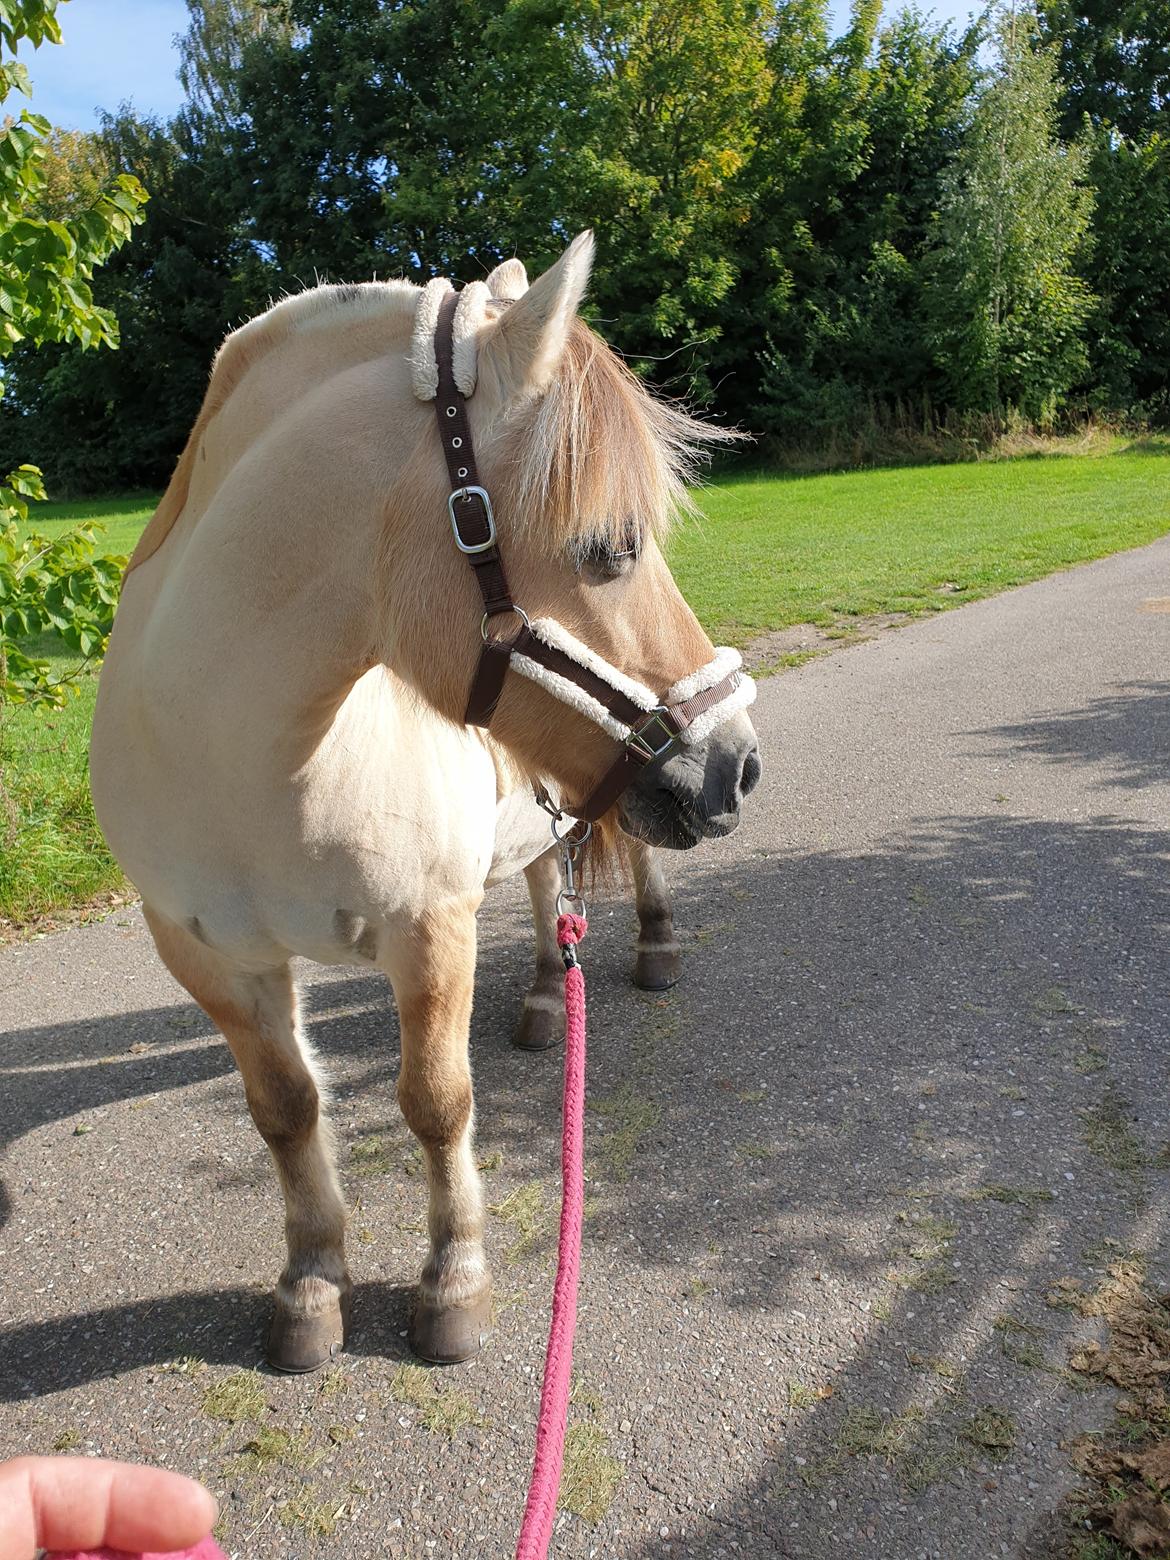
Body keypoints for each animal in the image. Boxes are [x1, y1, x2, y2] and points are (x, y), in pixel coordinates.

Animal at [86, 227, 755, 1366]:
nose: (736, 764)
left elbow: (437, 1103)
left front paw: (454, 1283)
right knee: (543, 878)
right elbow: (286, 1110)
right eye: (609, 549)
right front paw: (312, 1282)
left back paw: (653, 946)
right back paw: (544, 996)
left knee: (616, 859)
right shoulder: (214, 960)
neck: (253, 764)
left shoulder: (429, 928)